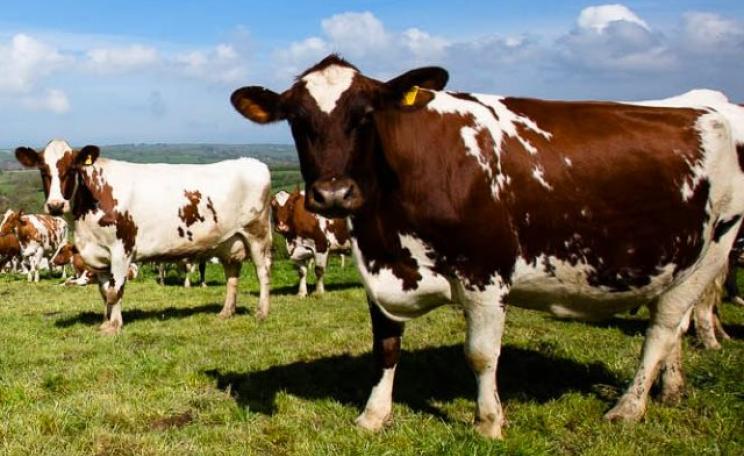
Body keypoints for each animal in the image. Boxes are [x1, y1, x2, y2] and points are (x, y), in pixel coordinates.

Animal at [15, 139, 272, 334]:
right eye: (43, 170)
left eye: (71, 169)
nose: (55, 205)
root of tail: (253, 163)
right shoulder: (98, 255)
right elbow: (104, 292)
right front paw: (106, 321)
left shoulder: (122, 250)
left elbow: (116, 290)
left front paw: (114, 326)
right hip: (230, 241)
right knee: (232, 276)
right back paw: (226, 312)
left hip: (256, 233)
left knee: (262, 271)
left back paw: (262, 312)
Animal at [231, 55, 744, 438]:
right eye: (297, 120)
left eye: (368, 114)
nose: (334, 194)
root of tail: (700, 109)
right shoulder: (378, 270)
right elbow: (386, 348)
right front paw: (374, 415)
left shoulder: (486, 273)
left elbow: (480, 353)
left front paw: (488, 422)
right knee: (674, 326)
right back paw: (670, 388)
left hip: (713, 249)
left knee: (663, 328)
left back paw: (629, 408)